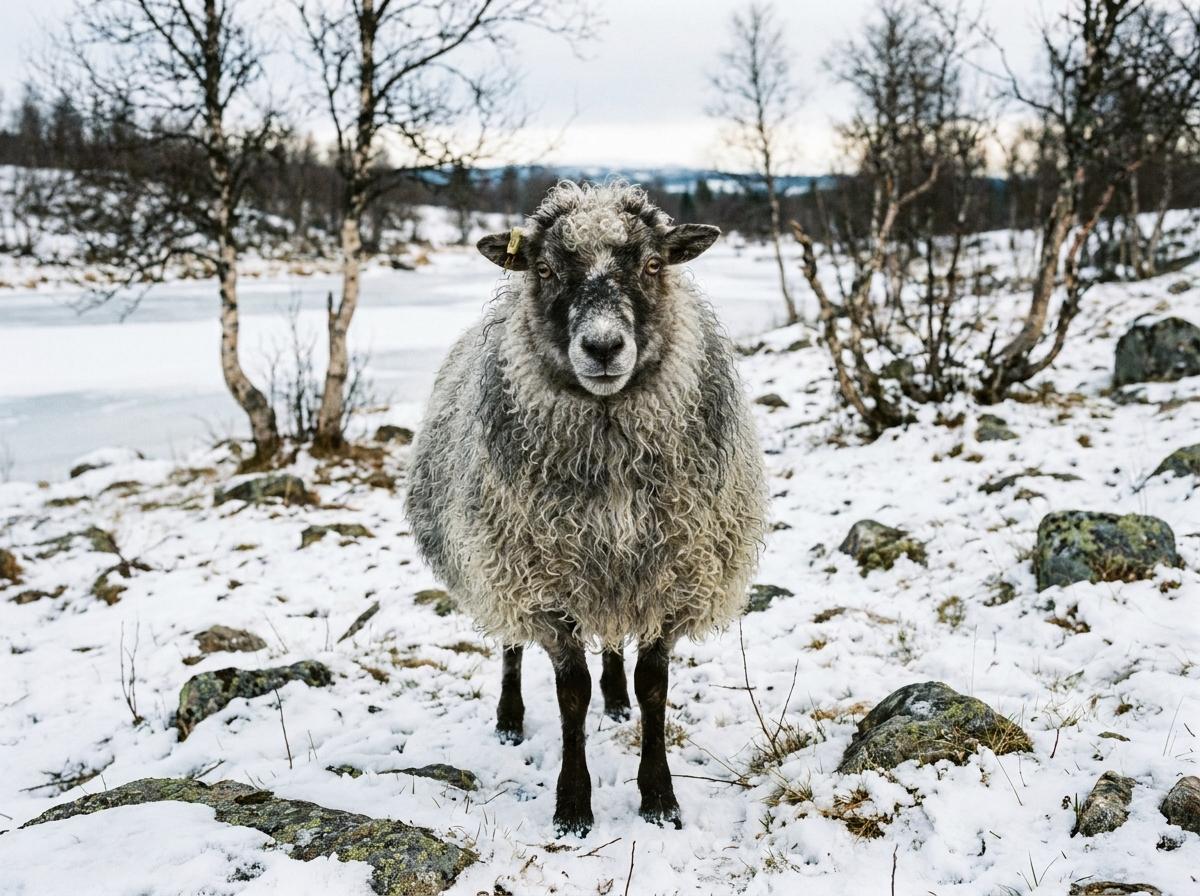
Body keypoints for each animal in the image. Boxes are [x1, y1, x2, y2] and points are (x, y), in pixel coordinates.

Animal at [405, 181, 766, 835]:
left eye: (653, 265)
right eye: (545, 269)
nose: (602, 347)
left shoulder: (670, 573)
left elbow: (654, 688)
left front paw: (659, 797)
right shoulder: (543, 581)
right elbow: (570, 695)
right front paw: (573, 805)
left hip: (613, 568)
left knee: (615, 641)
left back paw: (615, 698)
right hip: (504, 560)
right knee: (510, 643)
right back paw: (509, 717)